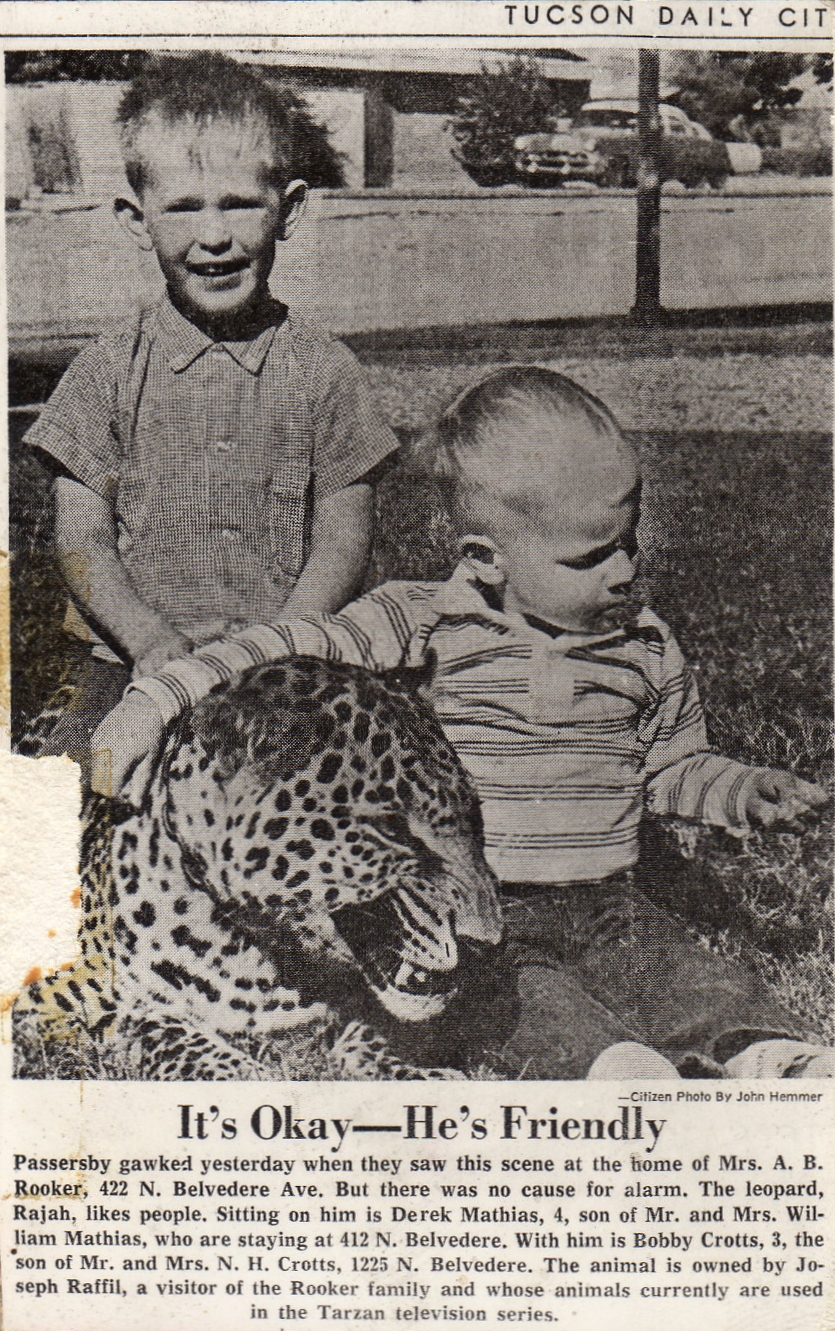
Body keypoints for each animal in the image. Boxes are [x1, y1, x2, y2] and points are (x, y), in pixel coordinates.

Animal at [14, 657, 502, 1080]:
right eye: (391, 828)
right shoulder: (57, 1002)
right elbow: (175, 1037)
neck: (259, 954)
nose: (486, 946)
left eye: (475, 813)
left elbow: (372, 1038)